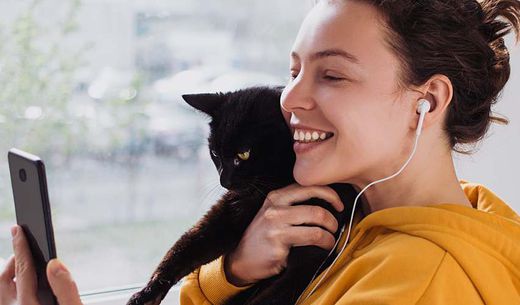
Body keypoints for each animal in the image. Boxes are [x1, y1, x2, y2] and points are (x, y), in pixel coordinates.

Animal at [128, 85, 360, 304]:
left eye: (244, 154)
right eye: (215, 153)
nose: (225, 181)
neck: (270, 187)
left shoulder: (309, 257)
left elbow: (270, 298)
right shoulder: (226, 215)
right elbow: (184, 249)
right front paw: (146, 293)